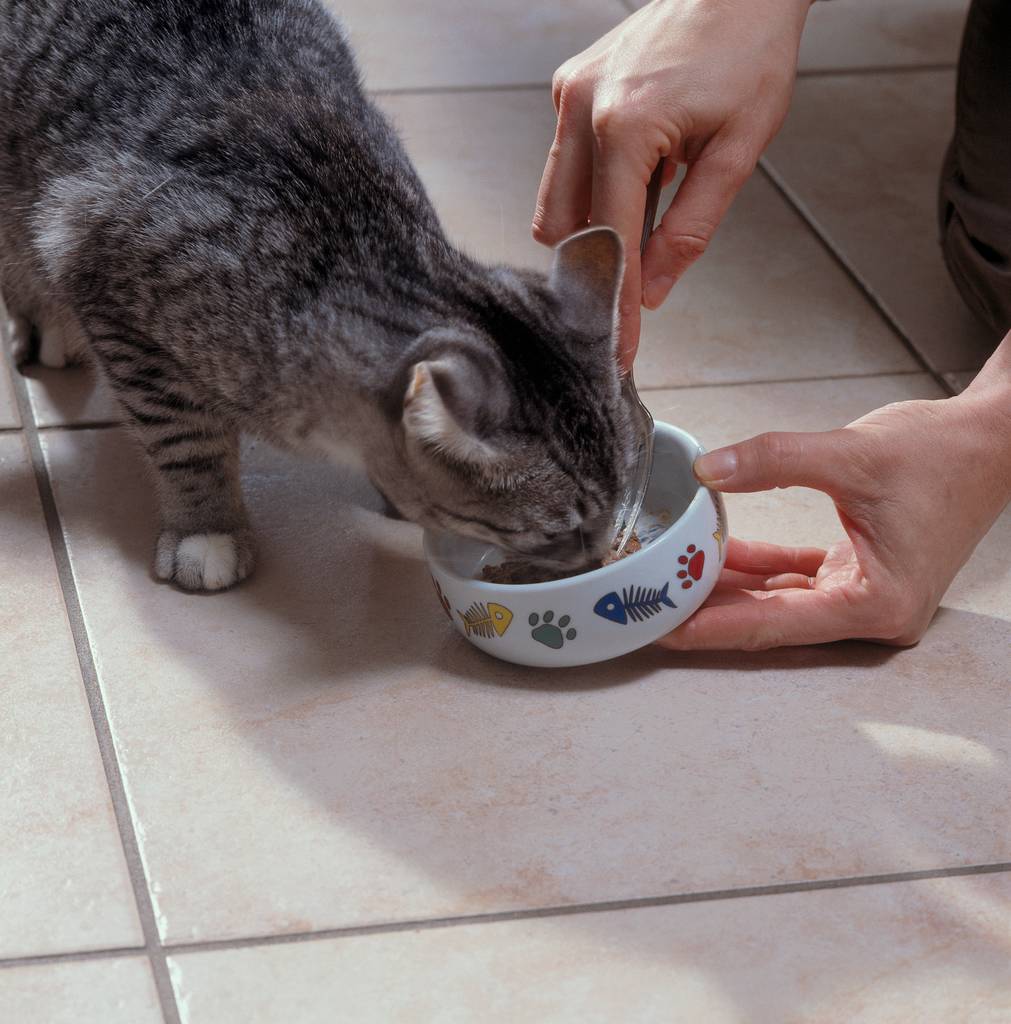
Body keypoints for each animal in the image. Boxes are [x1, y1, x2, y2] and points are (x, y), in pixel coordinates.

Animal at [0, 0, 630, 589]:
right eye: (559, 531)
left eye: (623, 491)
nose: (601, 555)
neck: (359, 242)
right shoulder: (116, 294)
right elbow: (184, 437)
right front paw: (207, 528)